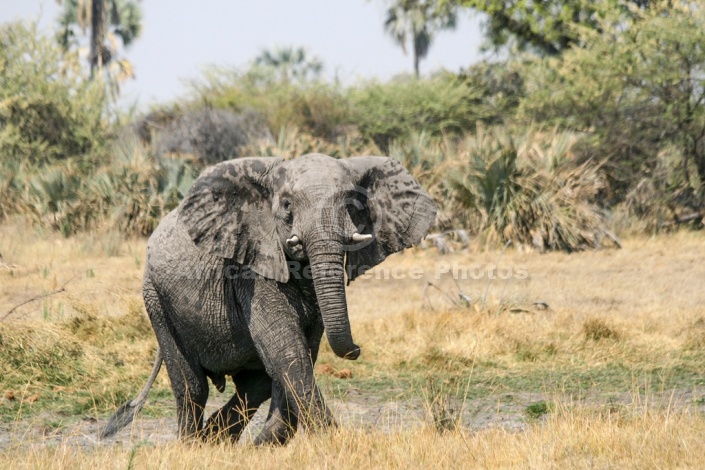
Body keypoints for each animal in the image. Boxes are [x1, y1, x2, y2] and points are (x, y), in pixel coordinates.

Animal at [100, 153, 434, 444]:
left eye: (353, 205)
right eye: (286, 205)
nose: (356, 350)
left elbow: (298, 356)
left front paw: (266, 442)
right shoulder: (251, 270)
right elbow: (289, 354)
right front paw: (335, 442)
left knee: (254, 384)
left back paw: (216, 441)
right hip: (156, 299)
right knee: (191, 385)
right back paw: (193, 445)